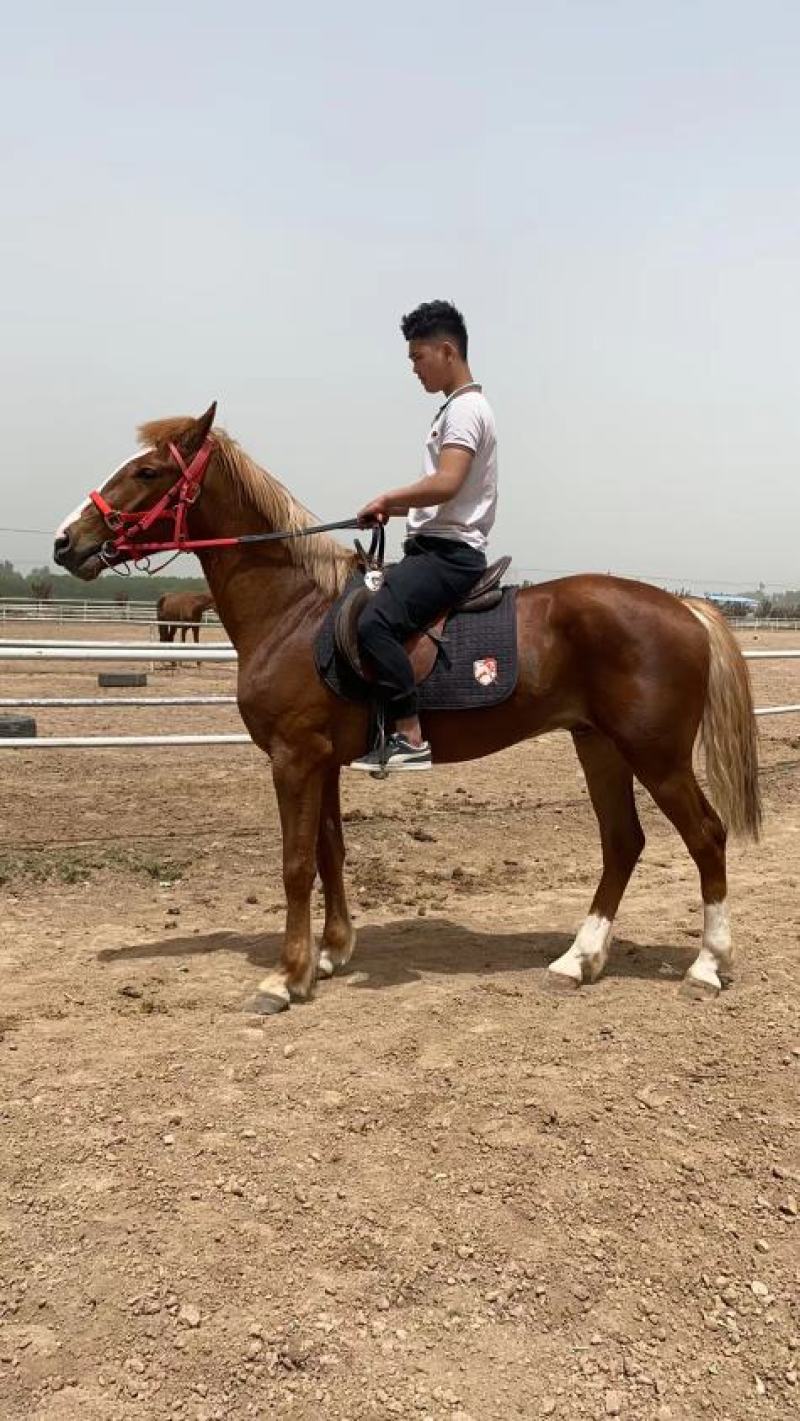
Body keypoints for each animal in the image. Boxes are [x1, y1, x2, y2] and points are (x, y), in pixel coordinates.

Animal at [53, 404, 761, 1016]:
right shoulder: (323, 762)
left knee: (706, 836)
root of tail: (682, 607)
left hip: (656, 755)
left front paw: (285, 977)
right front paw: (330, 954)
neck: (295, 613)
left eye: (148, 472)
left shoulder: (294, 758)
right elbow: (331, 851)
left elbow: (295, 863)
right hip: (600, 746)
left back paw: (706, 966)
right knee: (622, 842)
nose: (66, 542)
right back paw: (577, 960)